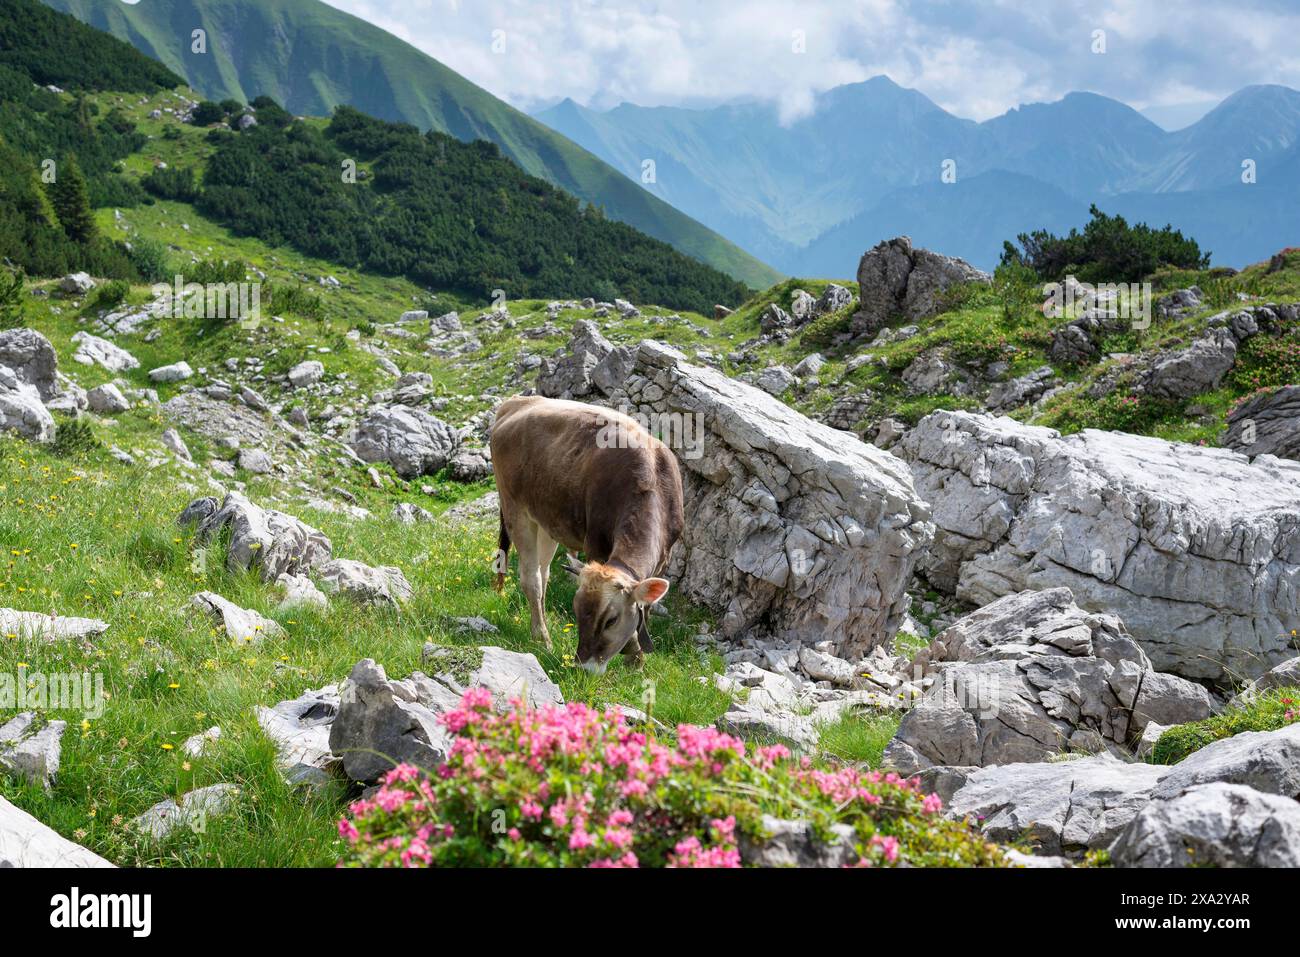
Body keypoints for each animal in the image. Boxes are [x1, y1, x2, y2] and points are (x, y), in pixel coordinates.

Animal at [488, 392, 691, 670]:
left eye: (611, 620)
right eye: (576, 611)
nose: (584, 667)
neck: (650, 479)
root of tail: (517, 402)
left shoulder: (664, 558)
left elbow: (647, 607)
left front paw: (637, 660)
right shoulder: (595, 544)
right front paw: (633, 653)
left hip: (547, 519)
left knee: (544, 572)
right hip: (515, 510)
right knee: (532, 579)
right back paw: (542, 638)